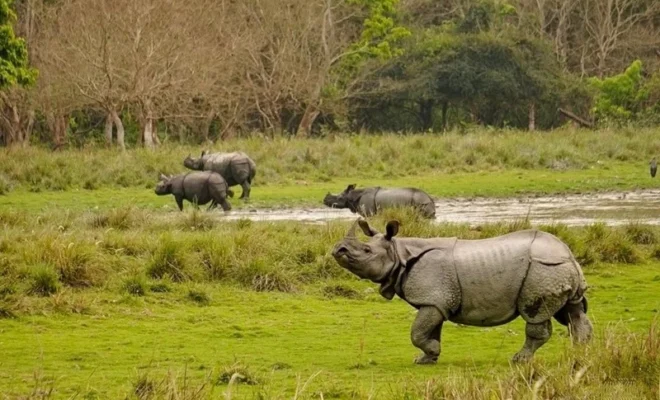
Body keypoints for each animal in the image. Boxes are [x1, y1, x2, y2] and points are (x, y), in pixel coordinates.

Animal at [331, 219, 593, 364]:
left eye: (366, 251)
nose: (338, 249)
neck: (398, 253)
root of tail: (569, 254)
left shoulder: (433, 299)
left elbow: (417, 332)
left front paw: (429, 354)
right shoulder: (435, 300)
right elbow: (430, 330)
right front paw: (427, 359)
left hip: (542, 269)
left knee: (536, 316)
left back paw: (519, 360)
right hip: (556, 269)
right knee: (573, 312)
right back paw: (579, 355)